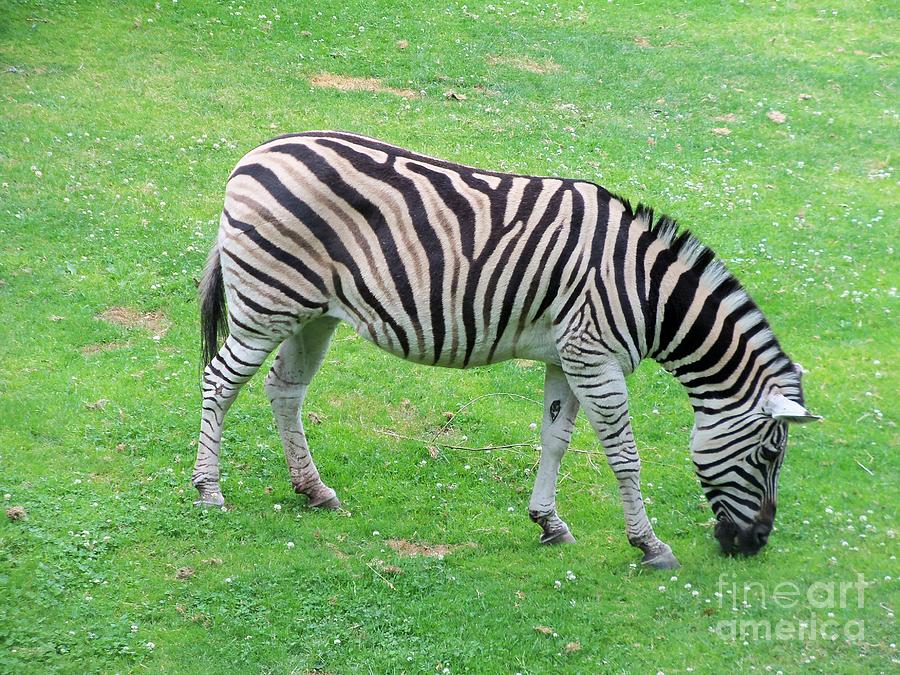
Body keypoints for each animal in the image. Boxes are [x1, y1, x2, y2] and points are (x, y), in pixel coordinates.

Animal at [193, 129, 820, 568]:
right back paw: (208, 491)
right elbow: (624, 454)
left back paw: (314, 491)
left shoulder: (567, 358)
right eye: (769, 455)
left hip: (311, 314)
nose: (755, 543)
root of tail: (253, 155)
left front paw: (548, 522)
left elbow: (555, 440)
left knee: (284, 389)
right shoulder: (595, 357)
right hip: (267, 303)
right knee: (219, 382)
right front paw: (649, 545)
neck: (648, 290)